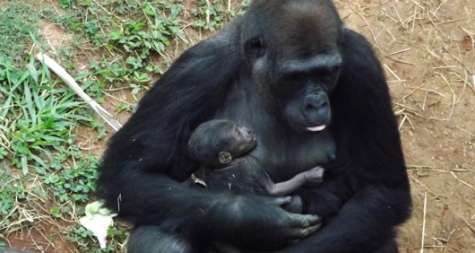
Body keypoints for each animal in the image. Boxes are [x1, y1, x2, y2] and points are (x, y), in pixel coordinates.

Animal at [188, 119, 326, 212]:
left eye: (238, 127)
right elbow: (273, 190)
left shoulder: (204, 170)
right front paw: (310, 176)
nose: (247, 130)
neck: (224, 165)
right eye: (238, 133)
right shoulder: (252, 163)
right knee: (295, 201)